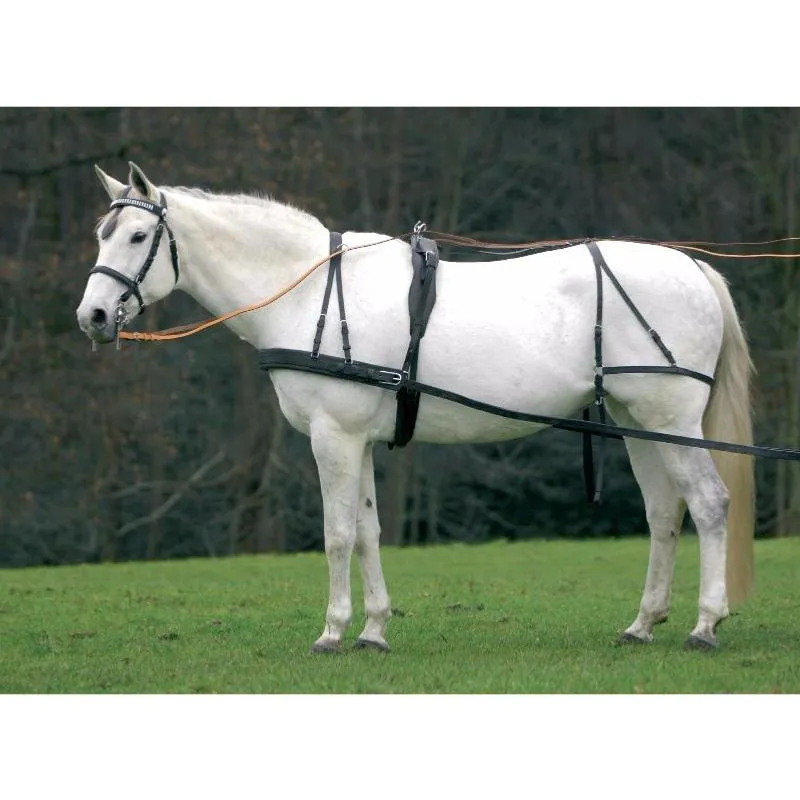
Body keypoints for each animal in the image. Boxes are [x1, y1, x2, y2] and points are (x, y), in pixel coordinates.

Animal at [76, 162, 755, 653]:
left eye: (138, 236)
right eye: (102, 235)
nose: (93, 317)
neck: (310, 292)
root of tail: (693, 266)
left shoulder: (333, 437)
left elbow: (338, 534)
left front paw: (332, 631)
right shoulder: (359, 440)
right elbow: (369, 532)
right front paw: (374, 631)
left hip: (673, 422)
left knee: (710, 505)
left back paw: (704, 625)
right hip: (643, 426)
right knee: (665, 514)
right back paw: (643, 623)